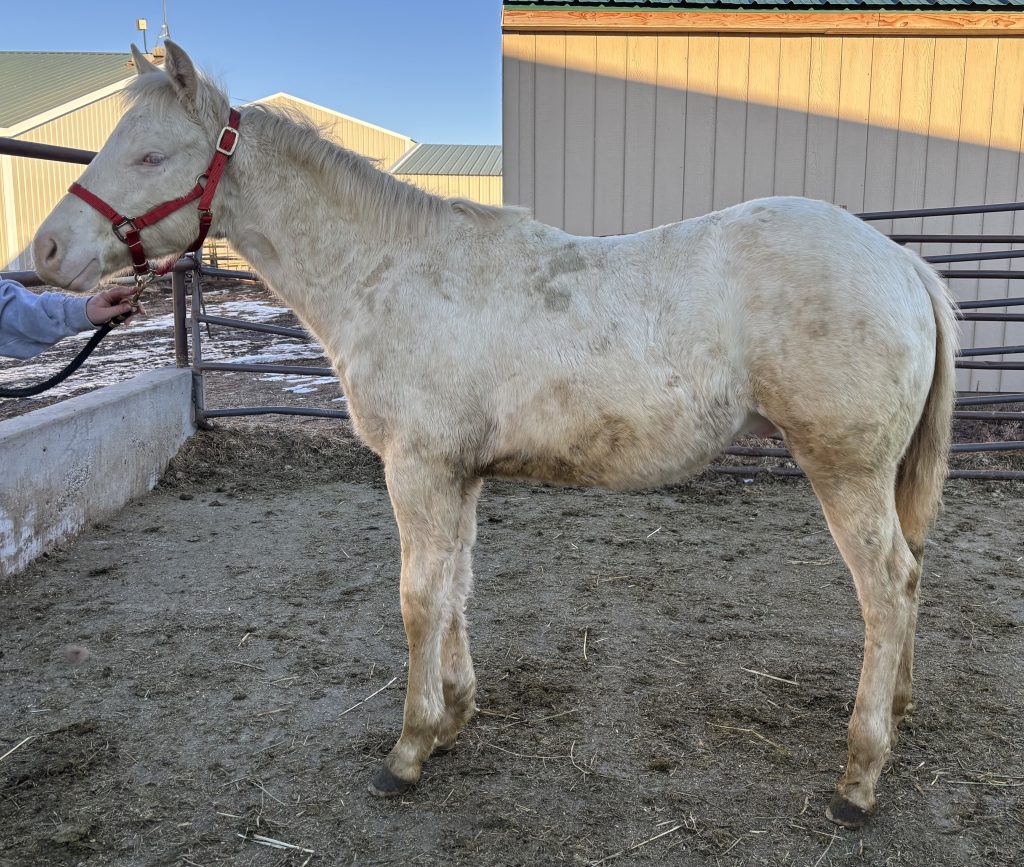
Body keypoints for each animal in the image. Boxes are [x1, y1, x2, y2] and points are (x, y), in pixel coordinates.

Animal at [33, 41, 957, 829]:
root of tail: (903, 262)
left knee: (886, 589)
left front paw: (407, 750)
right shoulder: (458, 473)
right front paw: (454, 718)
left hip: (845, 471)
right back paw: (900, 712)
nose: (44, 251)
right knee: (911, 576)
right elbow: (457, 589)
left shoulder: (416, 468)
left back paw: (859, 777)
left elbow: (417, 598)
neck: (390, 270)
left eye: (150, 157)